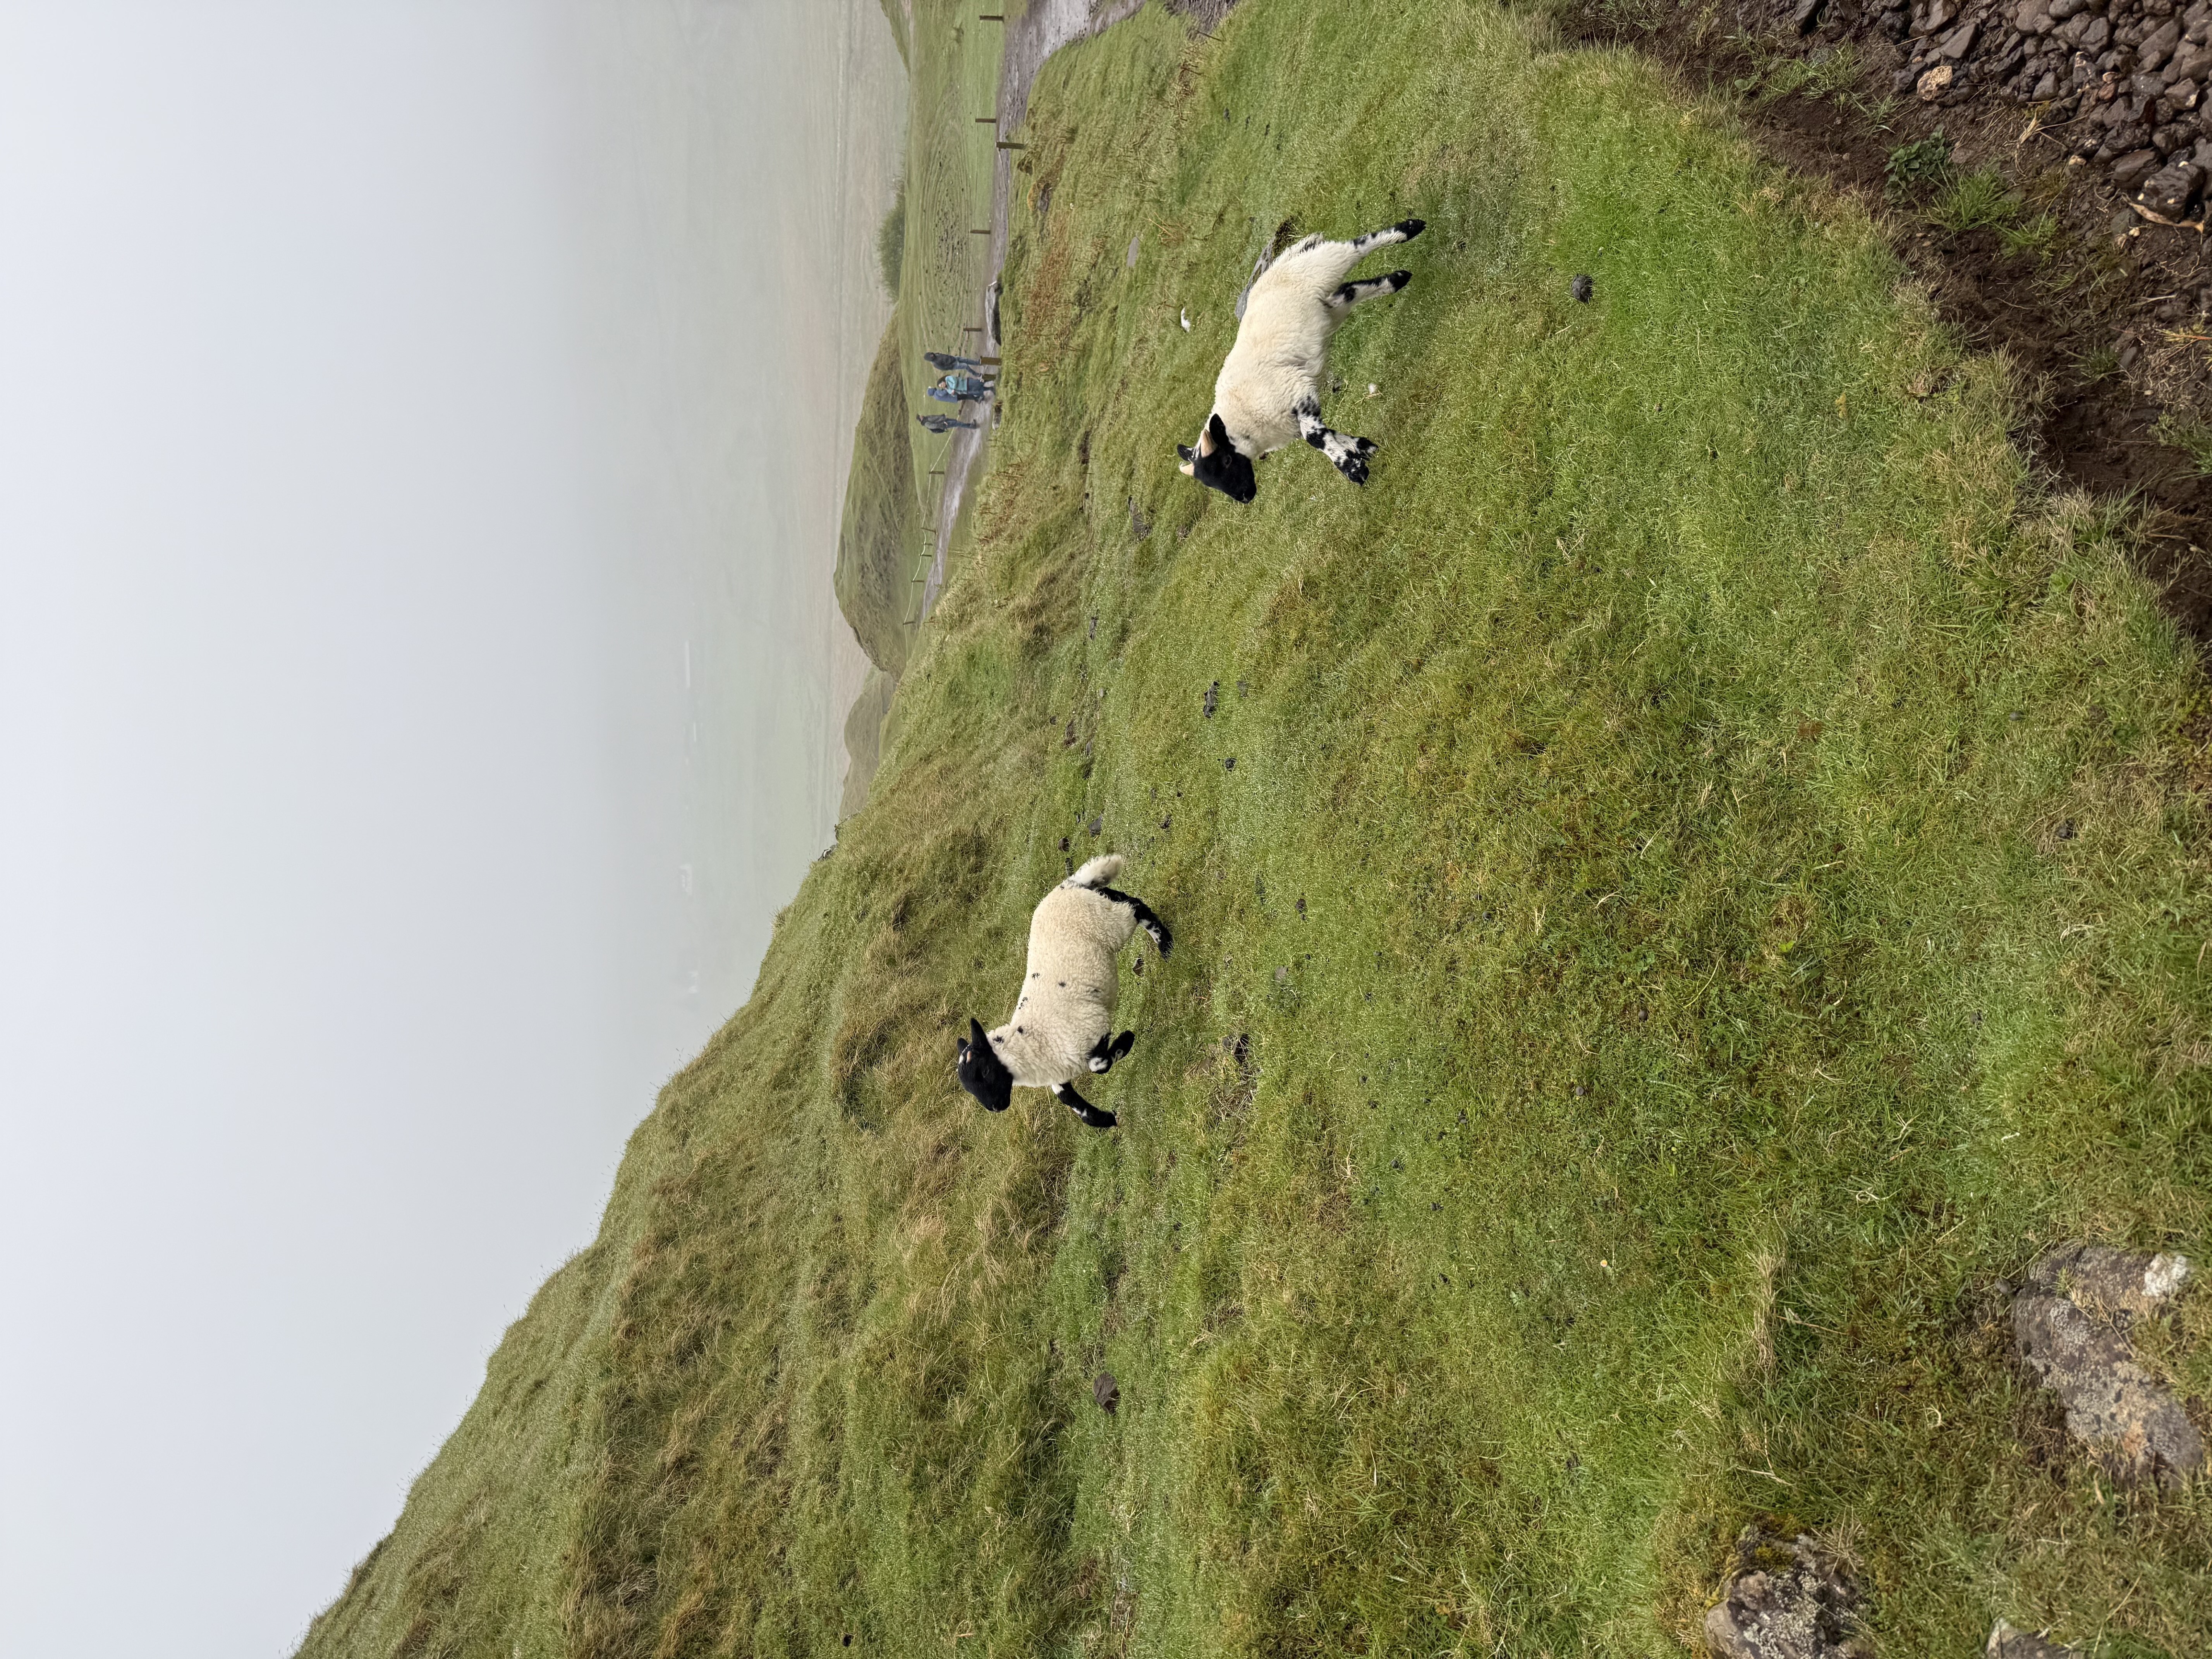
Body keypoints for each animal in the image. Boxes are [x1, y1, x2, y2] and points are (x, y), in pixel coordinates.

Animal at [956, 853, 1172, 1130]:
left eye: (983, 1071)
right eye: (968, 1088)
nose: (995, 1108)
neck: (1032, 1041)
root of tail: (1066, 887)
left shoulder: (1092, 1026)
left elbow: (1099, 1064)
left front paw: (1126, 1041)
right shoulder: (1060, 1074)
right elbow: (1072, 1102)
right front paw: (1106, 1119)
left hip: (1108, 925)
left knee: (1135, 907)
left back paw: (1166, 945)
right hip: (1101, 906)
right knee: (1120, 898)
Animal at [1177, 218, 1425, 503]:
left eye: (1227, 460)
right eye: (1208, 482)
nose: (1245, 497)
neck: (1242, 417)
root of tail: (1280, 266)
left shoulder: (1295, 393)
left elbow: (1314, 437)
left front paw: (1352, 469)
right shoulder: (1293, 415)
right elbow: (1329, 434)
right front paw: (1361, 449)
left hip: (1320, 268)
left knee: (1355, 247)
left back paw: (1409, 229)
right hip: (1329, 309)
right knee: (1349, 291)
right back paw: (1397, 279)